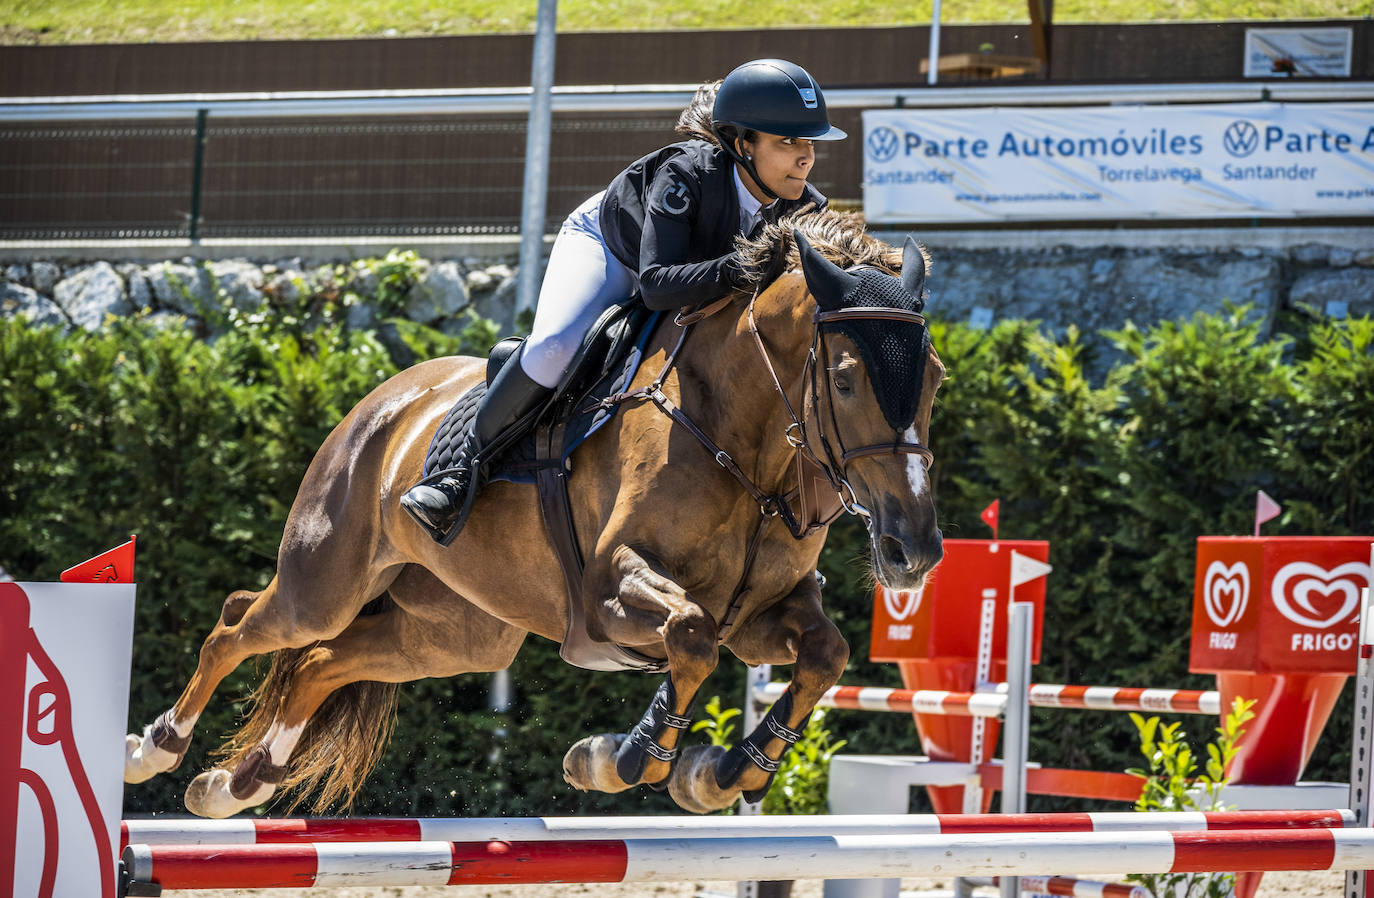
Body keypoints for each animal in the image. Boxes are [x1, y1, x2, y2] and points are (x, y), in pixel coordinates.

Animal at [123, 208, 945, 818]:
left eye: (934, 377)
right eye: (846, 380)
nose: (915, 550)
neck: (743, 444)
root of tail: (384, 399)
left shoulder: (759, 615)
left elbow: (823, 652)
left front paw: (722, 771)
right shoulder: (612, 593)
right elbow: (690, 636)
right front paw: (623, 759)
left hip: (453, 634)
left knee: (324, 664)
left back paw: (237, 783)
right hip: (325, 584)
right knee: (243, 623)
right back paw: (156, 749)